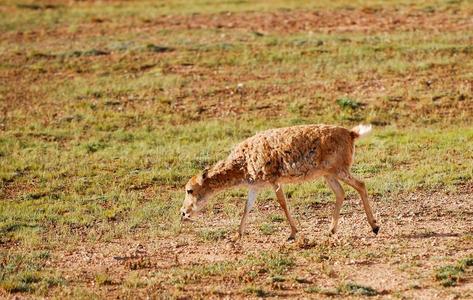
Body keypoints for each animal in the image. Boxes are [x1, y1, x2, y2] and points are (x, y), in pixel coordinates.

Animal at [179, 124, 378, 241]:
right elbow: (247, 207)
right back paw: (331, 230)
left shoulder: (273, 179)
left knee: (361, 185)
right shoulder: (255, 186)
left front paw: (292, 233)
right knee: (341, 192)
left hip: (339, 170)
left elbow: (282, 203)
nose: (182, 212)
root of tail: (352, 133)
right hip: (328, 174)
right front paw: (237, 235)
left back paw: (375, 226)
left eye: (189, 190)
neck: (242, 164)